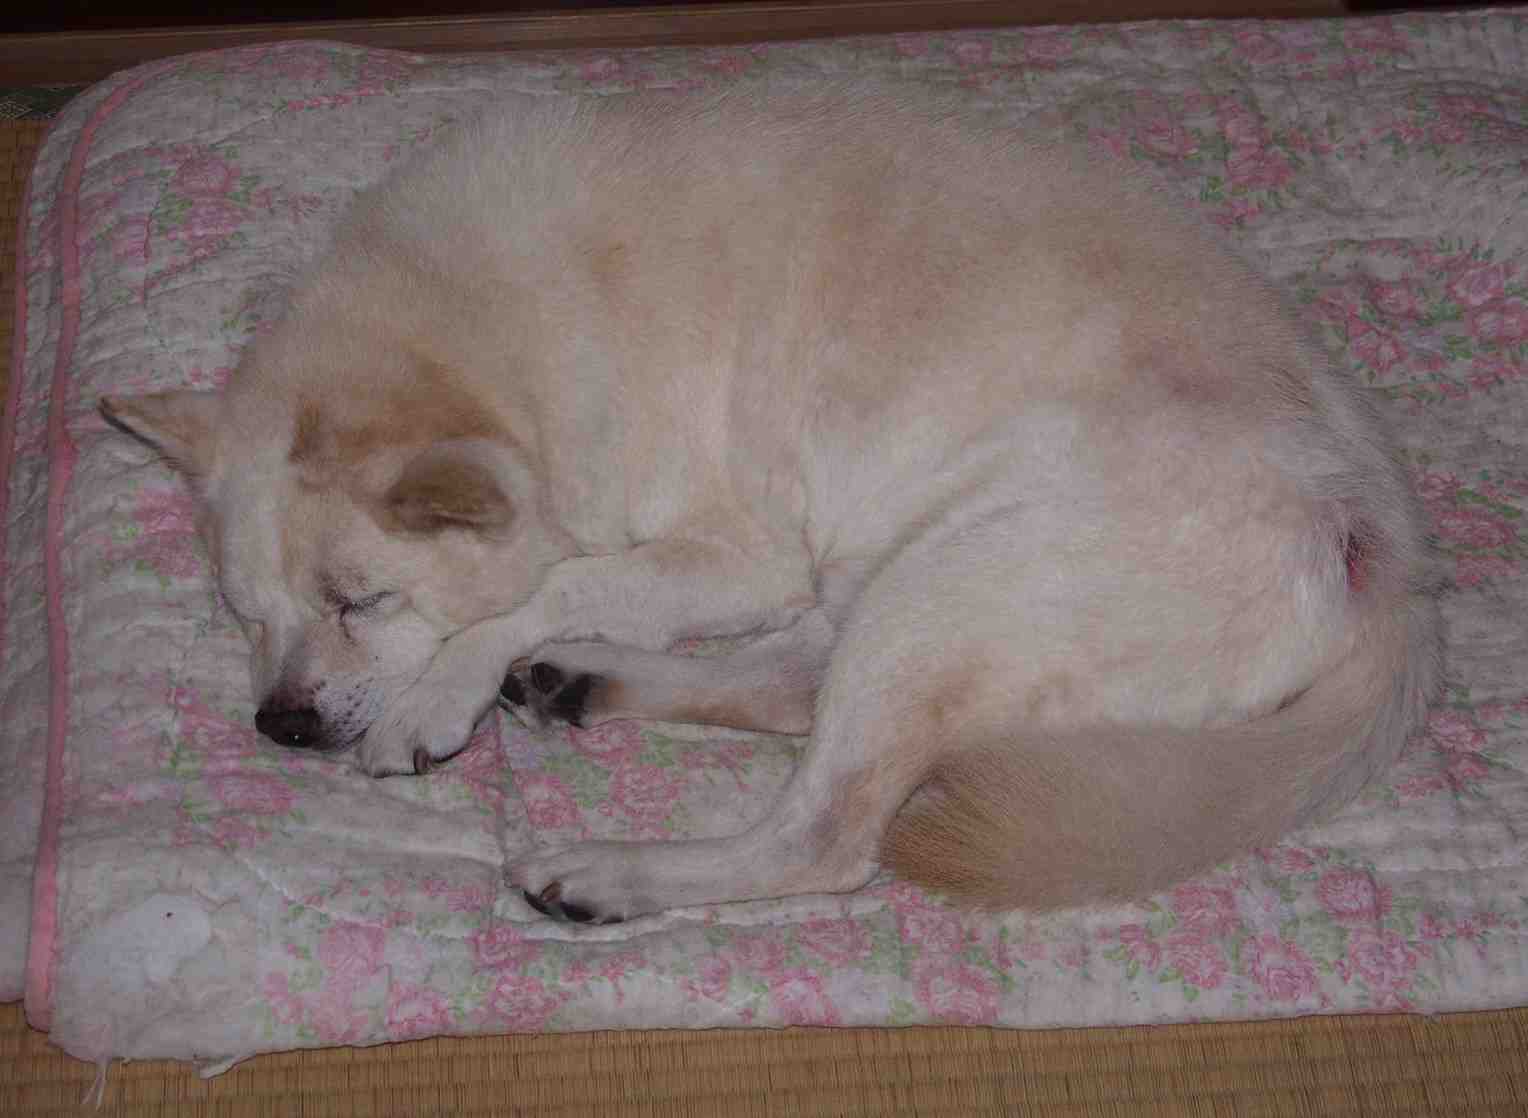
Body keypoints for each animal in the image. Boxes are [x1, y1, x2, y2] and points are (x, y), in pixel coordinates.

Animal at [101, 80, 1440, 925]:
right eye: (244, 614)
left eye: (361, 601)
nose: (277, 724)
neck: (509, 326)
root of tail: (1376, 544)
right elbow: (568, 589)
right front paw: (508, 666)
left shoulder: (740, 551)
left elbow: (544, 584)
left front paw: (444, 689)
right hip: (908, 582)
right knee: (795, 692)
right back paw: (584, 683)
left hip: (945, 592)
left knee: (825, 834)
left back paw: (612, 870)